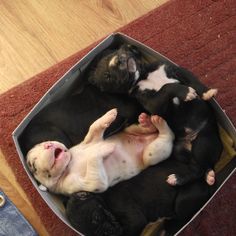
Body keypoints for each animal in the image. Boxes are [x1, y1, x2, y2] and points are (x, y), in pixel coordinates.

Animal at [26, 108, 173, 195]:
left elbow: (94, 127)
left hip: (130, 129)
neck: (68, 164)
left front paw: (109, 115)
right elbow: (94, 165)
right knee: (167, 137)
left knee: (142, 129)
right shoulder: (88, 185)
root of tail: (151, 137)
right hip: (151, 154)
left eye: (42, 143)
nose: (48, 145)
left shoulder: (90, 141)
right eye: (33, 165)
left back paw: (147, 122)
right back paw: (159, 124)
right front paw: (106, 148)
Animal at [87, 43, 223, 185]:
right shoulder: (152, 103)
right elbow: (166, 87)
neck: (142, 75)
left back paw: (206, 175)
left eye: (115, 53)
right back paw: (179, 178)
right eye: (107, 76)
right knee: (198, 169)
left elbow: (192, 79)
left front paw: (207, 92)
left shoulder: (176, 69)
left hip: (203, 142)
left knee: (201, 165)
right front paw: (186, 92)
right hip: (186, 148)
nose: (119, 60)